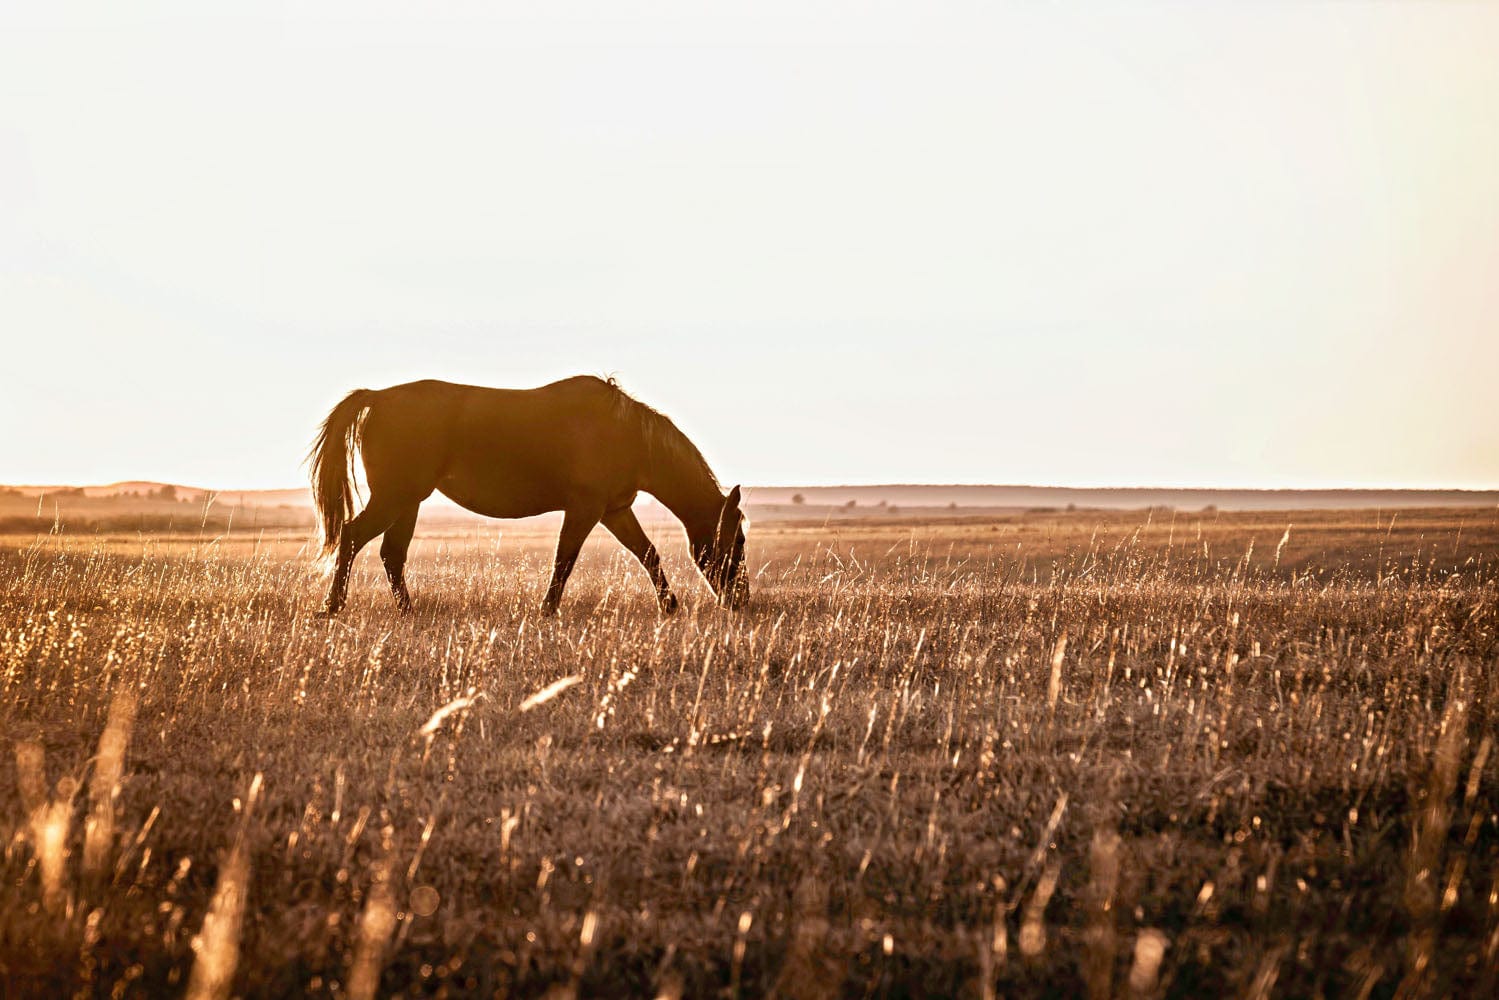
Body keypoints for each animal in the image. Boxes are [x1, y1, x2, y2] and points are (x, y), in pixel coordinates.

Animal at [307, 376, 748, 617]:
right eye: (739, 541)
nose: (741, 601)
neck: (626, 434)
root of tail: (376, 396)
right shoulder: (586, 509)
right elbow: (564, 559)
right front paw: (548, 609)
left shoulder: (614, 510)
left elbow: (648, 554)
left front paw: (669, 605)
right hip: (395, 497)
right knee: (352, 537)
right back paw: (333, 606)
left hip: (407, 502)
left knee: (391, 554)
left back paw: (407, 610)